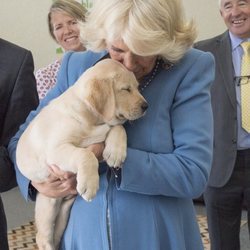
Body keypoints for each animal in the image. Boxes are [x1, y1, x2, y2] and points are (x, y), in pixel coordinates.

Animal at [15, 59, 147, 250]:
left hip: (64, 209)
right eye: (126, 89)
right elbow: (85, 154)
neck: (91, 118)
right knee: (42, 237)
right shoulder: (56, 150)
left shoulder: (107, 126)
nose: (146, 106)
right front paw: (90, 185)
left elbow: (118, 127)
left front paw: (115, 152)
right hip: (48, 204)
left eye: (137, 87)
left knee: (56, 234)